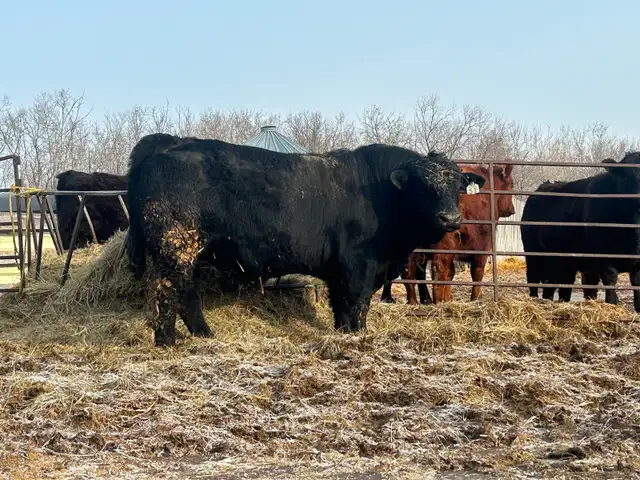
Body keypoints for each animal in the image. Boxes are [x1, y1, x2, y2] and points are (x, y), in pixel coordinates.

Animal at [124, 138, 487, 346]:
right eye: (423, 186)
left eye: (458, 184)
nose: (450, 219)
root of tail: (167, 144)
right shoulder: (359, 265)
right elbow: (357, 304)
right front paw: (358, 335)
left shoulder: (342, 270)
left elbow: (340, 305)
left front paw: (343, 333)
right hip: (175, 246)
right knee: (167, 291)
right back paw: (167, 342)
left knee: (185, 292)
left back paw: (203, 334)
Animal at [380, 163, 515, 304]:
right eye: (512, 185)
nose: (512, 209)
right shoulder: (482, 248)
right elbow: (477, 273)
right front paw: (475, 299)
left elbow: (450, 273)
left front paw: (448, 299)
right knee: (437, 270)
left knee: (410, 272)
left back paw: (413, 302)